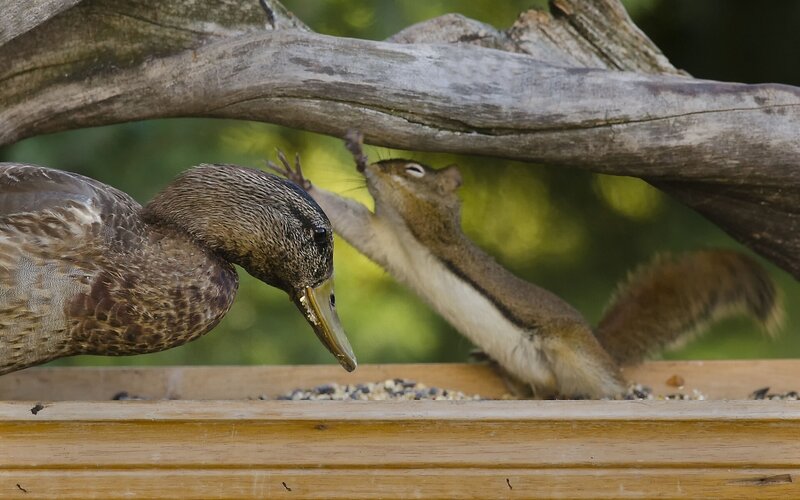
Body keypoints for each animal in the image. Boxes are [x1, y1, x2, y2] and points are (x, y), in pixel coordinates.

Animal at [268, 132, 784, 399]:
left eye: (415, 170)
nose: (380, 167)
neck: (409, 236)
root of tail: (603, 347)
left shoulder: (430, 230)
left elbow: (398, 202)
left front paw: (359, 153)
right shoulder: (388, 242)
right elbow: (352, 221)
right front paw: (304, 181)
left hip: (573, 350)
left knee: (609, 383)